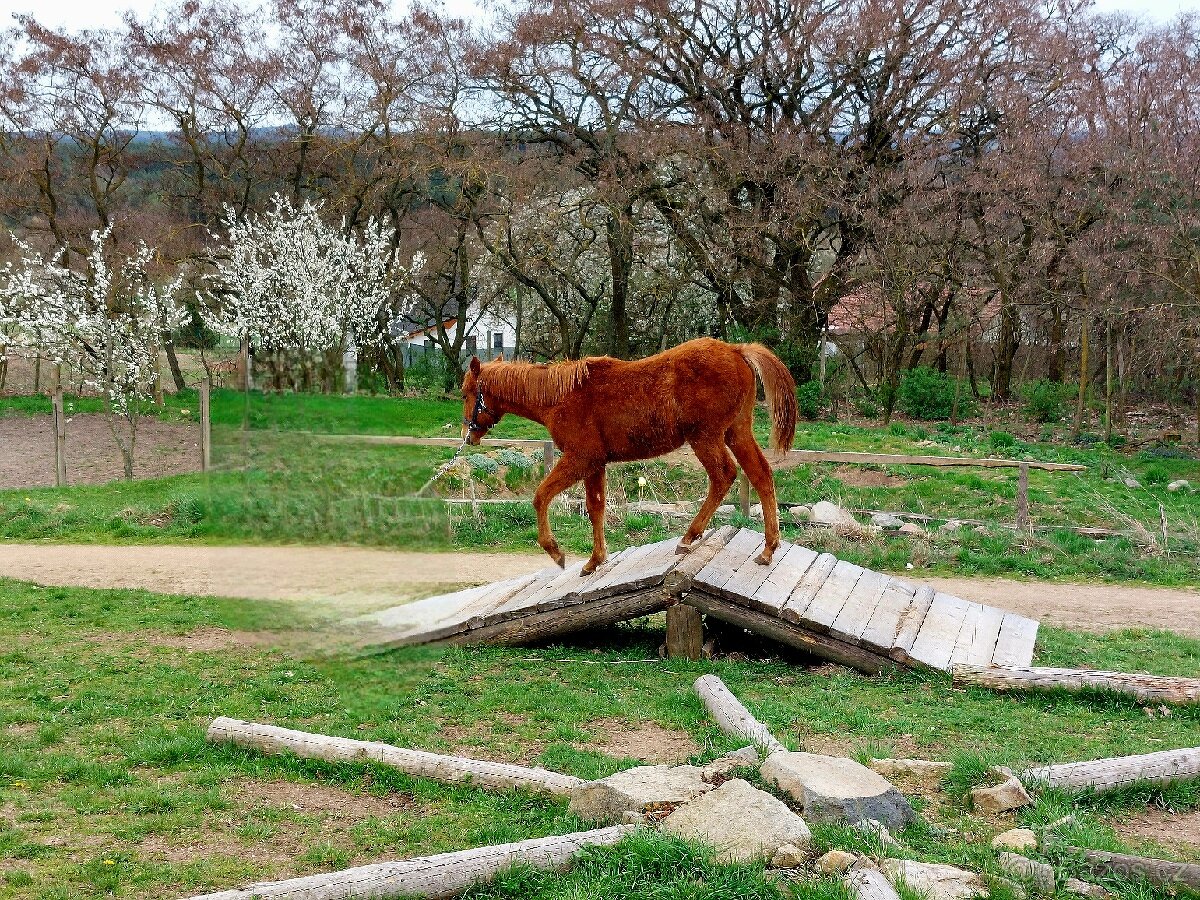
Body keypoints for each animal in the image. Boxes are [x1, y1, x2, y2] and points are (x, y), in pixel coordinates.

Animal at [458, 338, 796, 578]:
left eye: (465, 393)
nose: (468, 436)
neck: (560, 397)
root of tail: (736, 350)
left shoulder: (580, 459)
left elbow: (541, 496)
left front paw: (556, 553)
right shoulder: (595, 464)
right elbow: (595, 508)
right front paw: (594, 561)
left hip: (706, 438)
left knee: (724, 475)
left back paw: (690, 537)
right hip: (736, 432)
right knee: (760, 474)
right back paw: (768, 549)